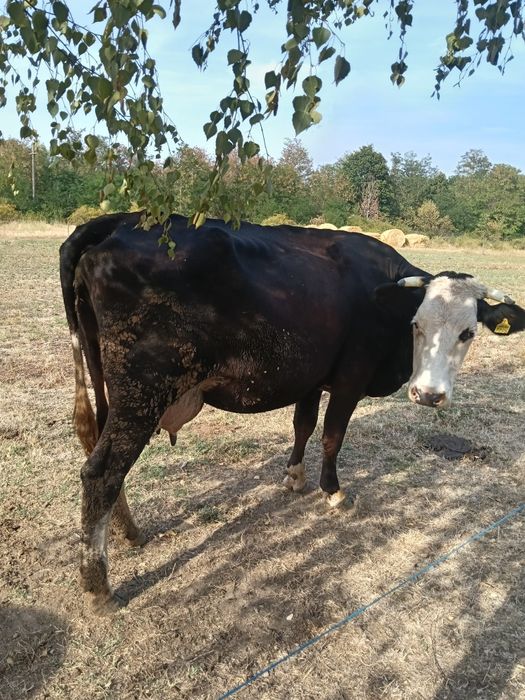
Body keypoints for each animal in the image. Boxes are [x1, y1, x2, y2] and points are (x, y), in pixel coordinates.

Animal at [59, 212, 525, 614]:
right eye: (417, 325)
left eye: (467, 333)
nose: (428, 395)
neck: (381, 296)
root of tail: (119, 221)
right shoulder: (350, 379)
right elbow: (332, 435)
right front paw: (332, 491)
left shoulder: (312, 377)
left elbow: (303, 426)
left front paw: (294, 476)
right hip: (142, 393)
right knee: (101, 472)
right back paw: (99, 587)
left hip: (110, 388)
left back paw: (129, 533)